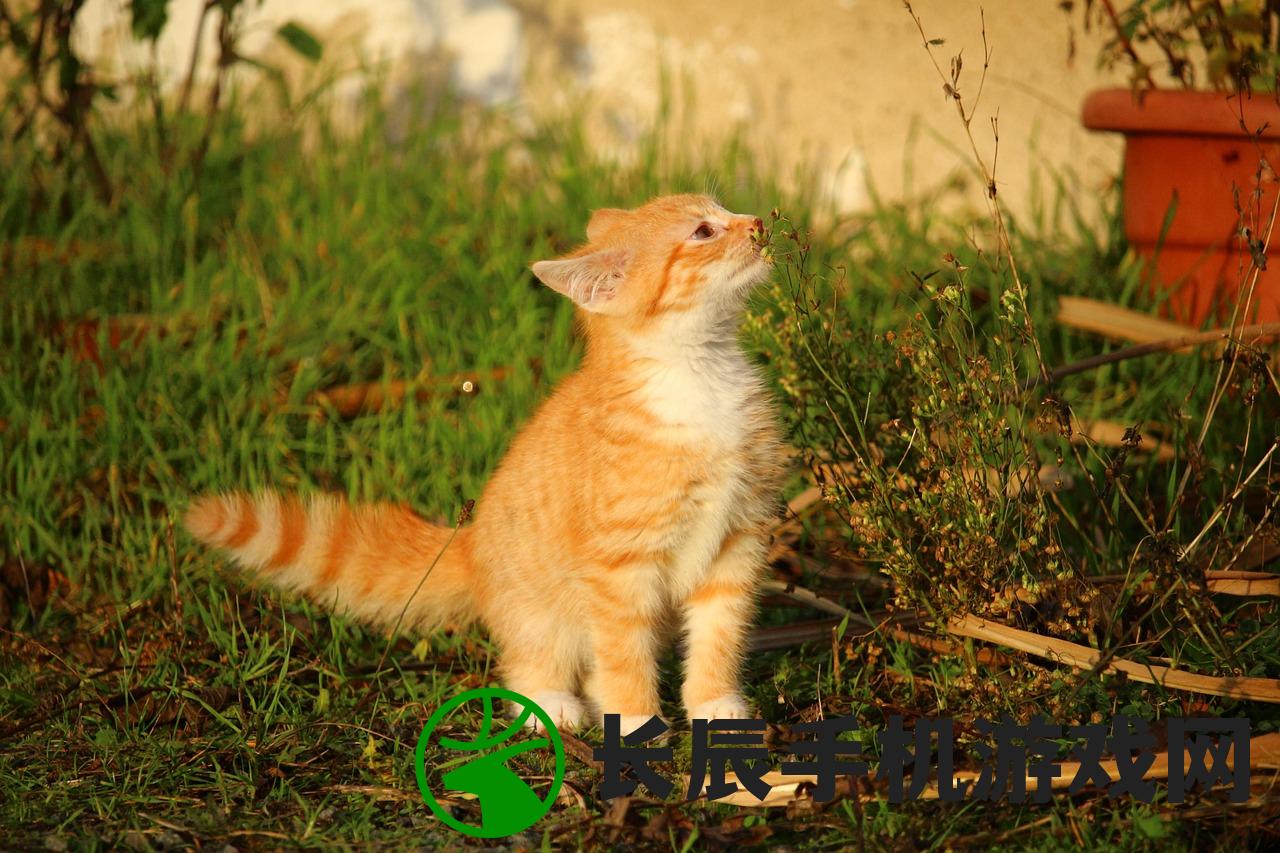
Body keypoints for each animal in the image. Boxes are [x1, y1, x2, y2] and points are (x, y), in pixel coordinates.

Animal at [185, 194, 783, 732]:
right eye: (703, 231)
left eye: (723, 208)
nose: (757, 221)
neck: (699, 377)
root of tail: (470, 543)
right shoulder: (619, 567)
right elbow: (622, 649)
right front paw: (637, 721)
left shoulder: (737, 538)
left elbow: (720, 632)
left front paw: (715, 704)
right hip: (540, 611)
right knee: (533, 658)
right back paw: (551, 703)